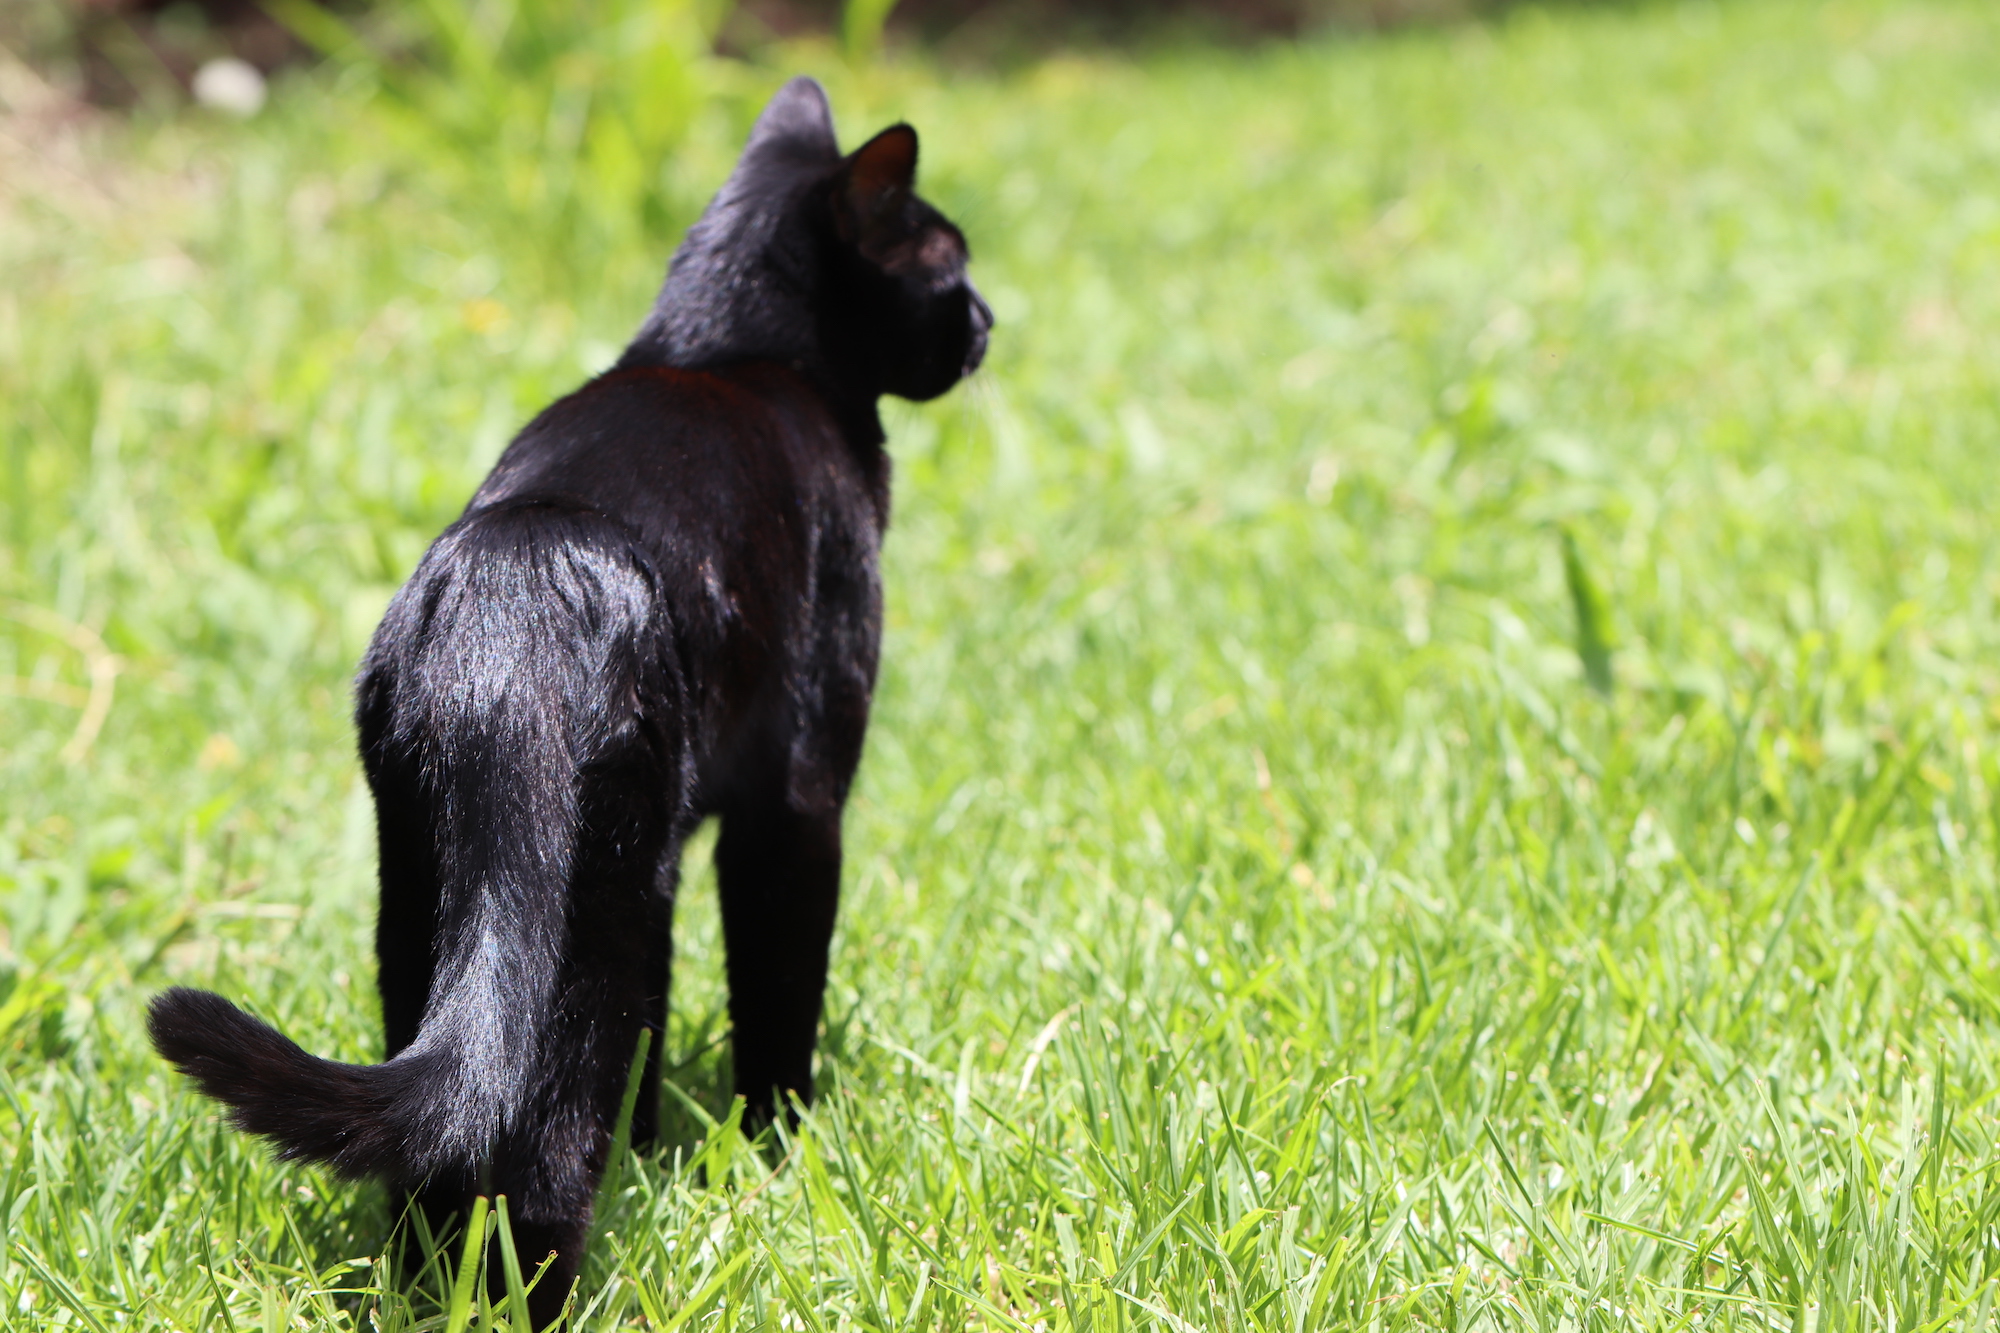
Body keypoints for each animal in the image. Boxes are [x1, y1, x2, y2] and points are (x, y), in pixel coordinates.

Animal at [148, 78, 992, 1320]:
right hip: (594, 899)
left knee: (446, 1118)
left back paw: (428, 1288)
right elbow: (775, 988)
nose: (987, 319)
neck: (724, 346)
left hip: (426, 887)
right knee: (541, 1143)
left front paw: (662, 1150)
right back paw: (534, 1301)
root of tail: (513, 599)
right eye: (948, 259)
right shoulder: (795, 800)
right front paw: (779, 1152)